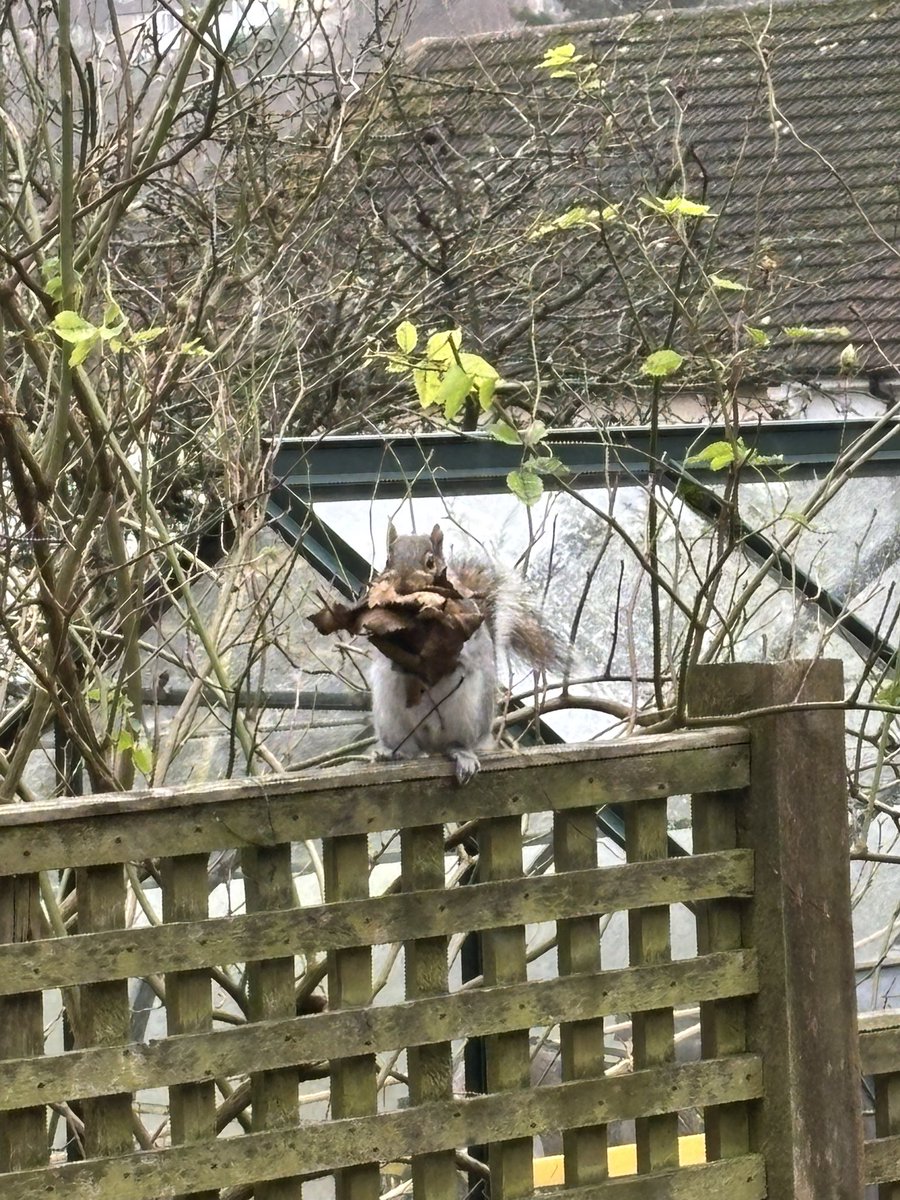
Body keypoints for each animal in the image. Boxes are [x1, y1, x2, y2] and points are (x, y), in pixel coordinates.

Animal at [369, 522, 565, 784]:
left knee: (457, 743)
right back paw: (393, 754)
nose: (401, 586)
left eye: (430, 562)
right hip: (390, 717)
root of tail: (432, 744)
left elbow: (463, 650)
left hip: (472, 713)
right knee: (411, 749)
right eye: (388, 560)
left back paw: (462, 755)